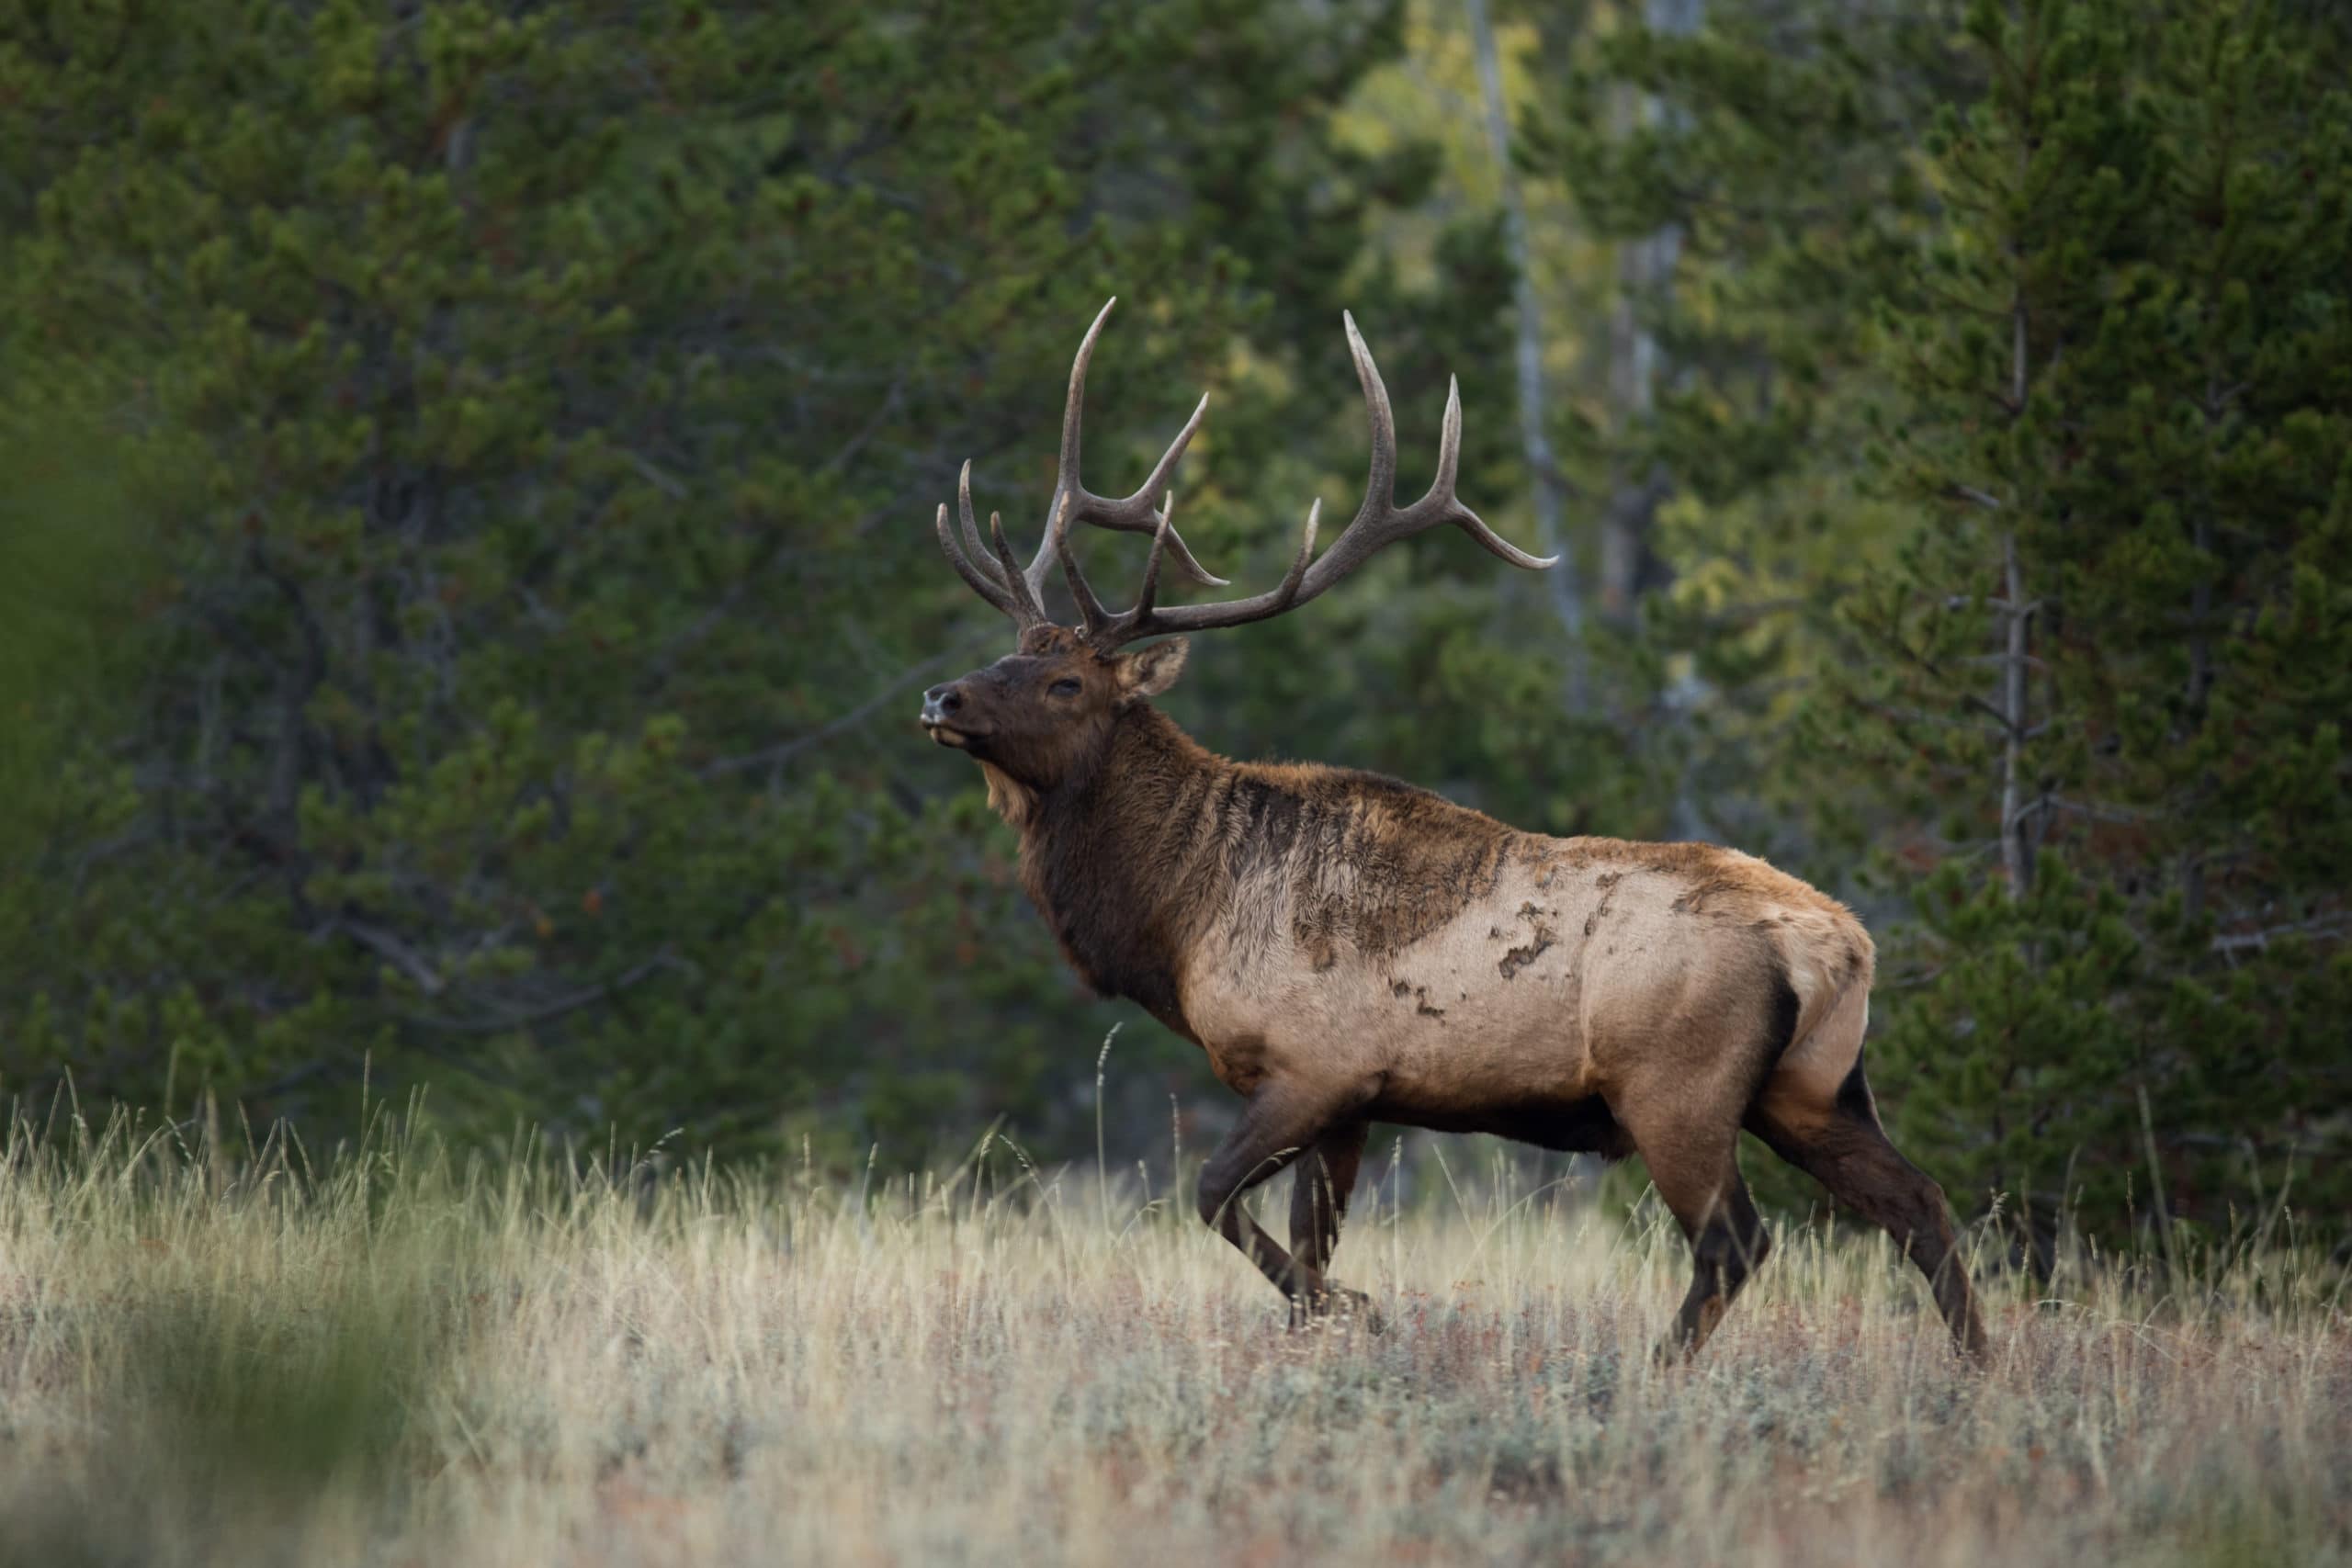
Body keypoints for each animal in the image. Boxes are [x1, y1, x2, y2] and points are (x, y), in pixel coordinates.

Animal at [917, 297, 1984, 1363]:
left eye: (1066, 681)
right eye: (1012, 651)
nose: (941, 696)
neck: (1182, 919)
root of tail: (1841, 945)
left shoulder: (1317, 1068)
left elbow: (1216, 1196)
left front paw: (1359, 1311)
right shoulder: (1351, 1103)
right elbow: (1310, 1237)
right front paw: (1332, 1324)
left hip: (1677, 1087)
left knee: (1737, 1241)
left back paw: (1650, 1372)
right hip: (1814, 1088)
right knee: (1921, 1203)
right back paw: (1976, 1366)